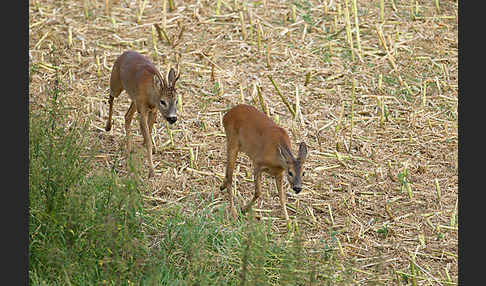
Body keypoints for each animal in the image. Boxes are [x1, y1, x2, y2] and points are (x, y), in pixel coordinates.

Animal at [105, 50, 180, 178]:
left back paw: (129, 149)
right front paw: (151, 171)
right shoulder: (142, 110)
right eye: (163, 101)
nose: (173, 118)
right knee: (111, 97)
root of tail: (124, 53)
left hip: (134, 100)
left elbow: (149, 132)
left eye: (176, 101)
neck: (151, 96)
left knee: (127, 116)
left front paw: (145, 145)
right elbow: (148, 139)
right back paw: (108, 127)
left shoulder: (153, 110)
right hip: (116, 83)